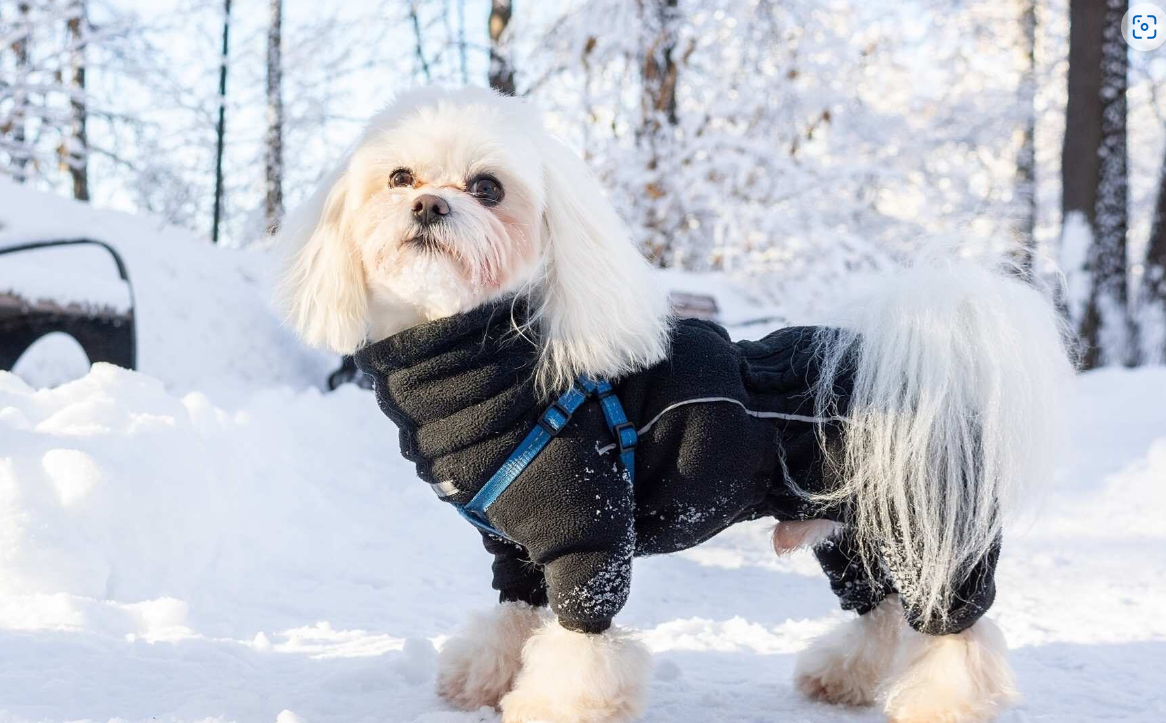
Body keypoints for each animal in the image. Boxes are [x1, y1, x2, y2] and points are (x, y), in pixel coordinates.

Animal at [275, 87, 1072, 718]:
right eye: (398, 176)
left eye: (489, 187)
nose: (428, 204)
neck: (479, 354)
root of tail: (927, 361)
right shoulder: (514, 549)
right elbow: (511, 615)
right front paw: (482, 678)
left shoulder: (587, 537)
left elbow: (579, 643)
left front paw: (555, 704)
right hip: (853, 533)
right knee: (877, 615)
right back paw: (840, 679)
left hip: (930, 530)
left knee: (958, 632)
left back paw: (943, 703)